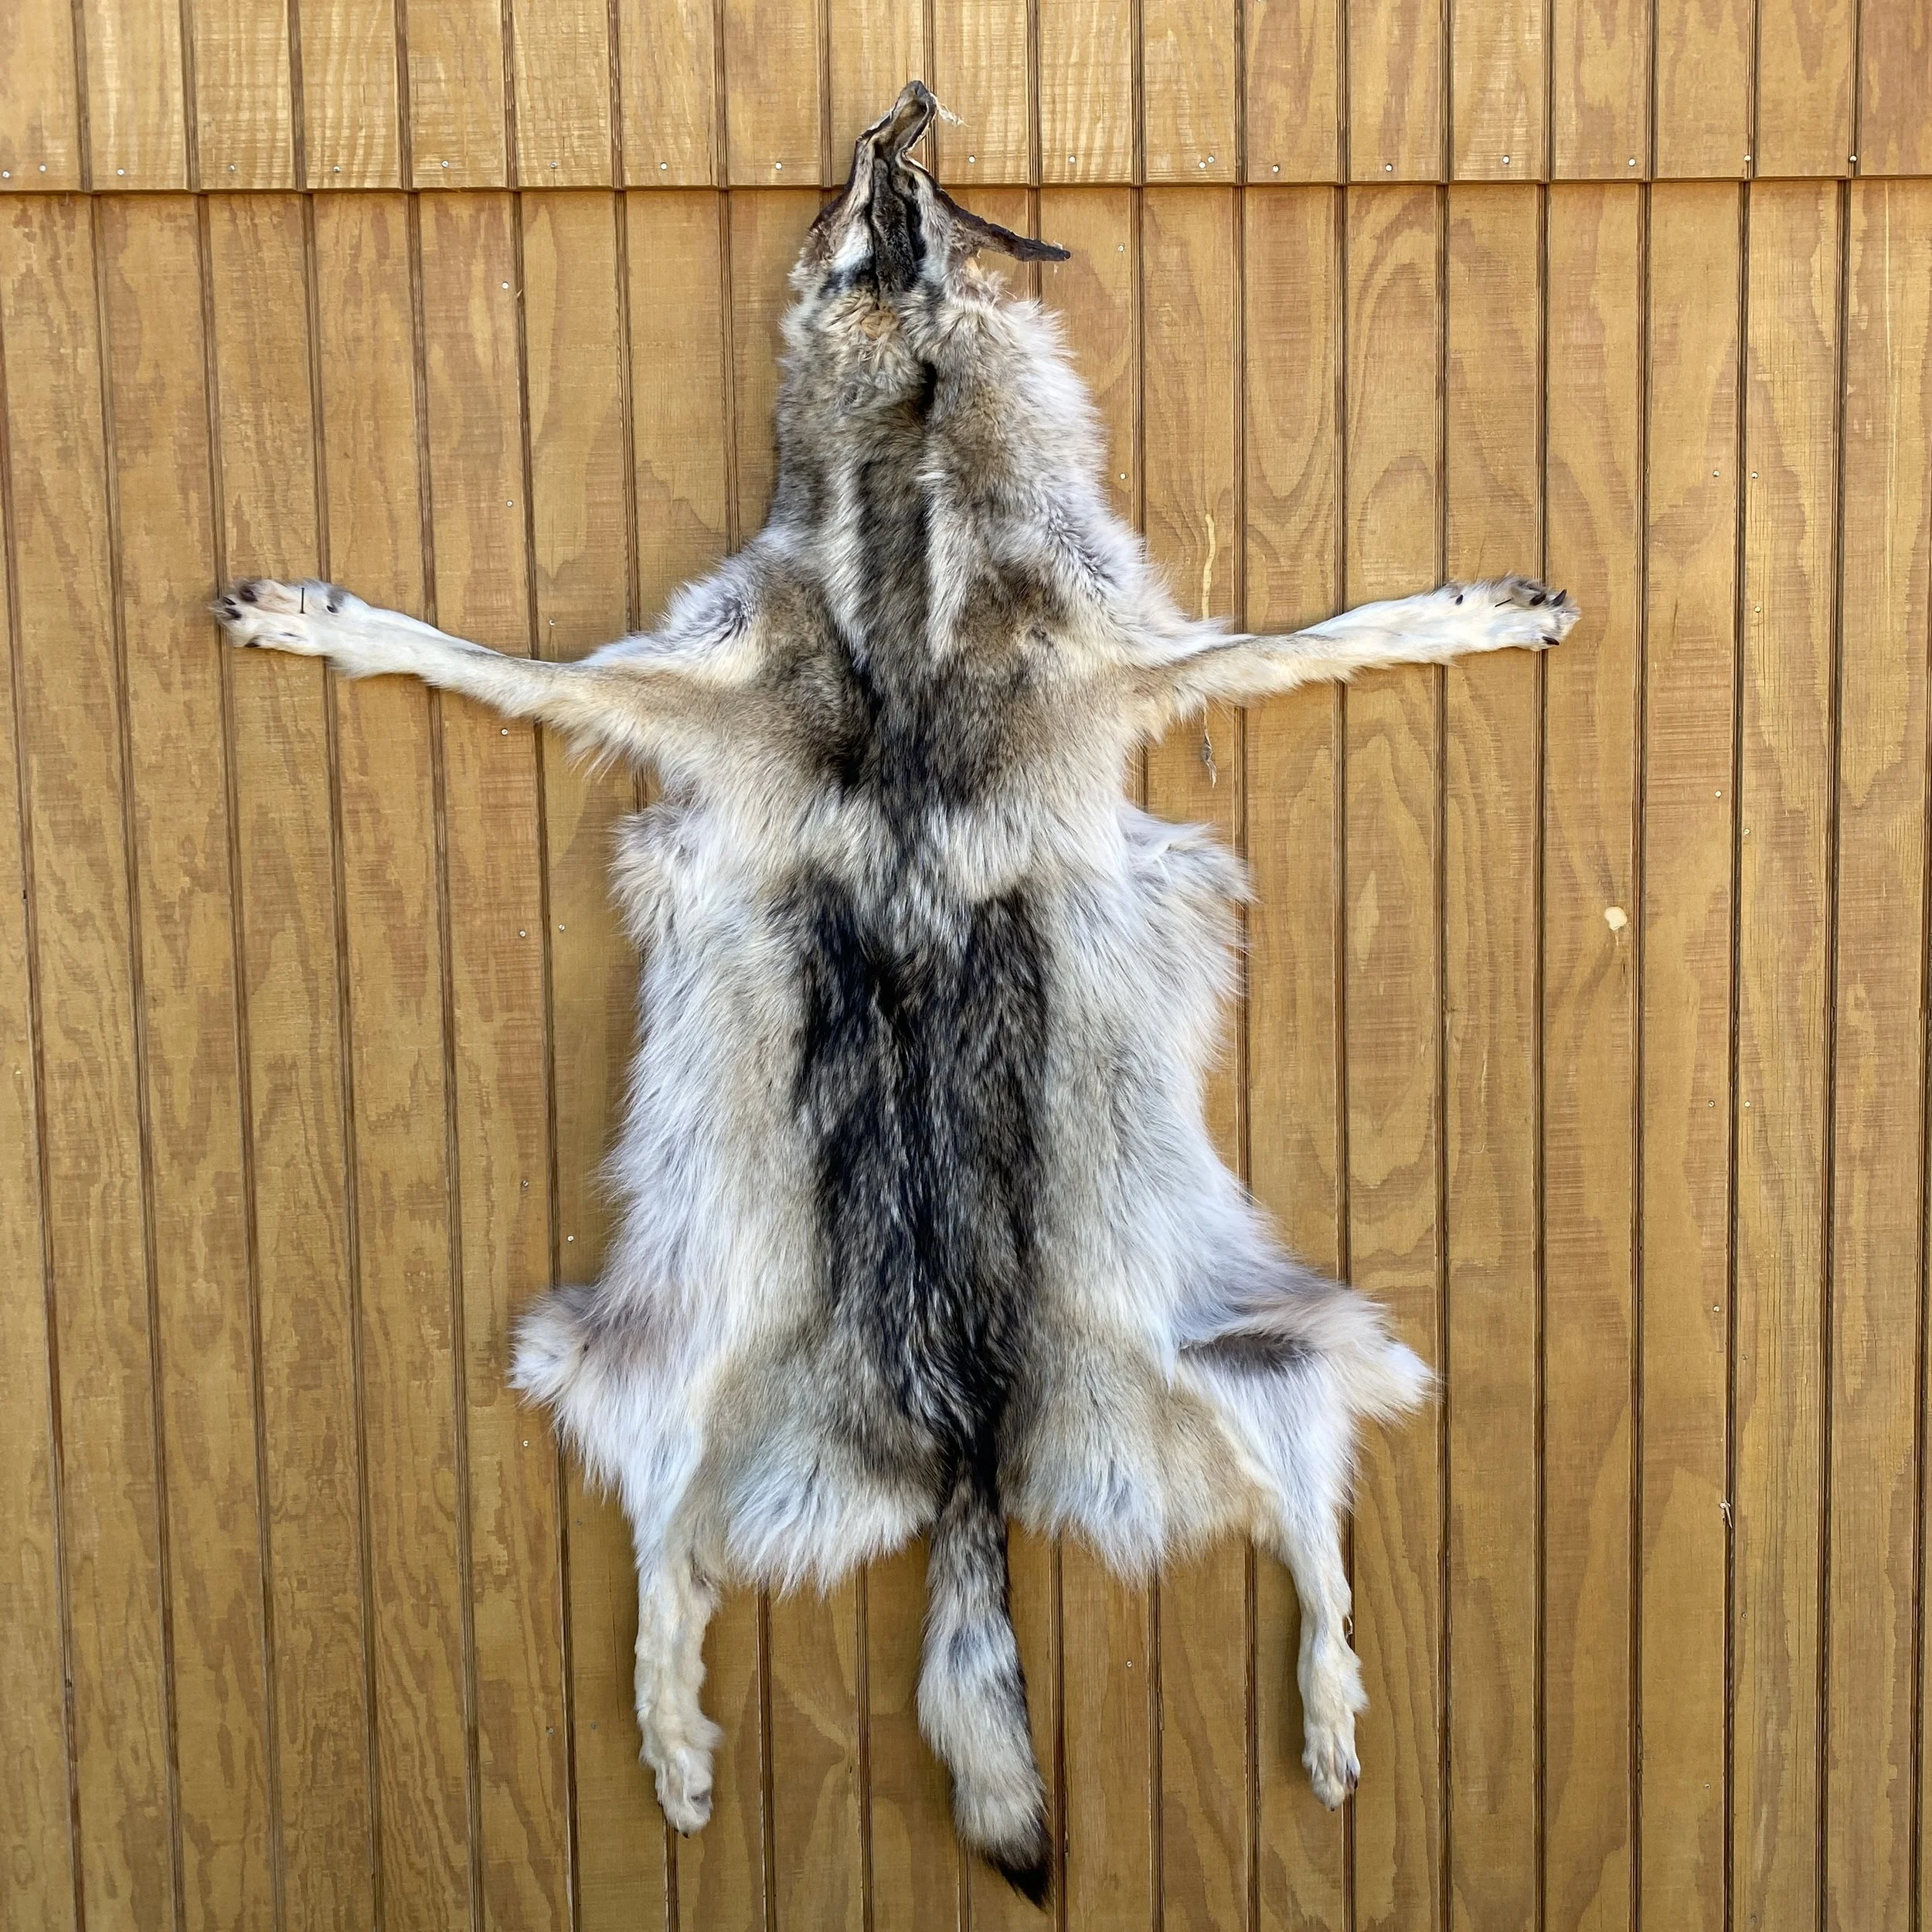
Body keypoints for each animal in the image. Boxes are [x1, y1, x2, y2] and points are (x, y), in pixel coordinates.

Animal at [214, 79, 1576, 1904]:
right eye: (860, 202)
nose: (908, 98)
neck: (908, 470)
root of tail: (957, 1439)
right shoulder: (806, 650)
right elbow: (494, 660)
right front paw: (333, 623)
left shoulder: (1074, 642)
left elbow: (1322, 634)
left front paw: (1461, 616)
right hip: (650, 1357)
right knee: (666, 1552)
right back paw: (686, 1736)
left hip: (1243, 1347)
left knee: (1303, 1525)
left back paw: (1313, 1706)